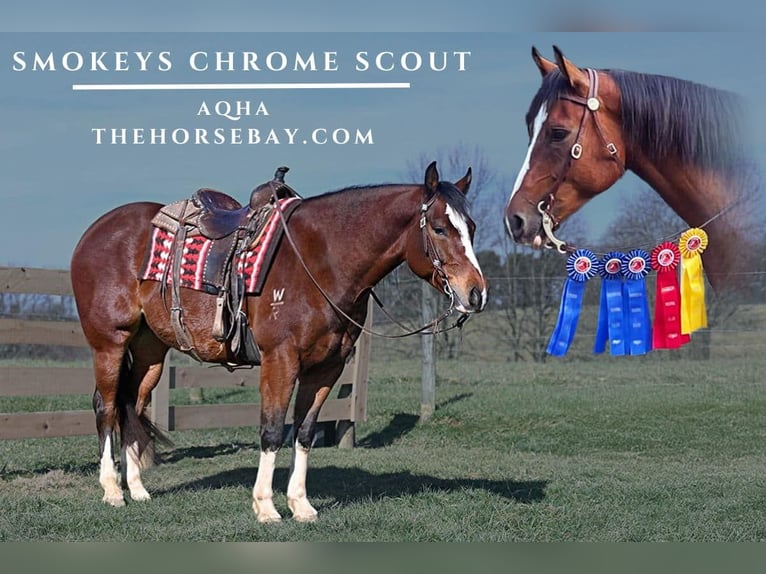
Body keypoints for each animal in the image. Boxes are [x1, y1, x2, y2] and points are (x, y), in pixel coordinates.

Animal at [70, 161, 487, 523]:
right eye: (439, 228)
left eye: (471, 226)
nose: (476, 294)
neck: (322, 260)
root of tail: (94, 232)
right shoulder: (280, 360)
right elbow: (271, 430)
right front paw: (266, 507)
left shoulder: (327, 367)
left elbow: (303, 433)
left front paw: (300, 505)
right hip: (110, 343)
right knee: (106, 407)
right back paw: (112, 490)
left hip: (150, 350)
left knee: (131, 403)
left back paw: (138, 489)